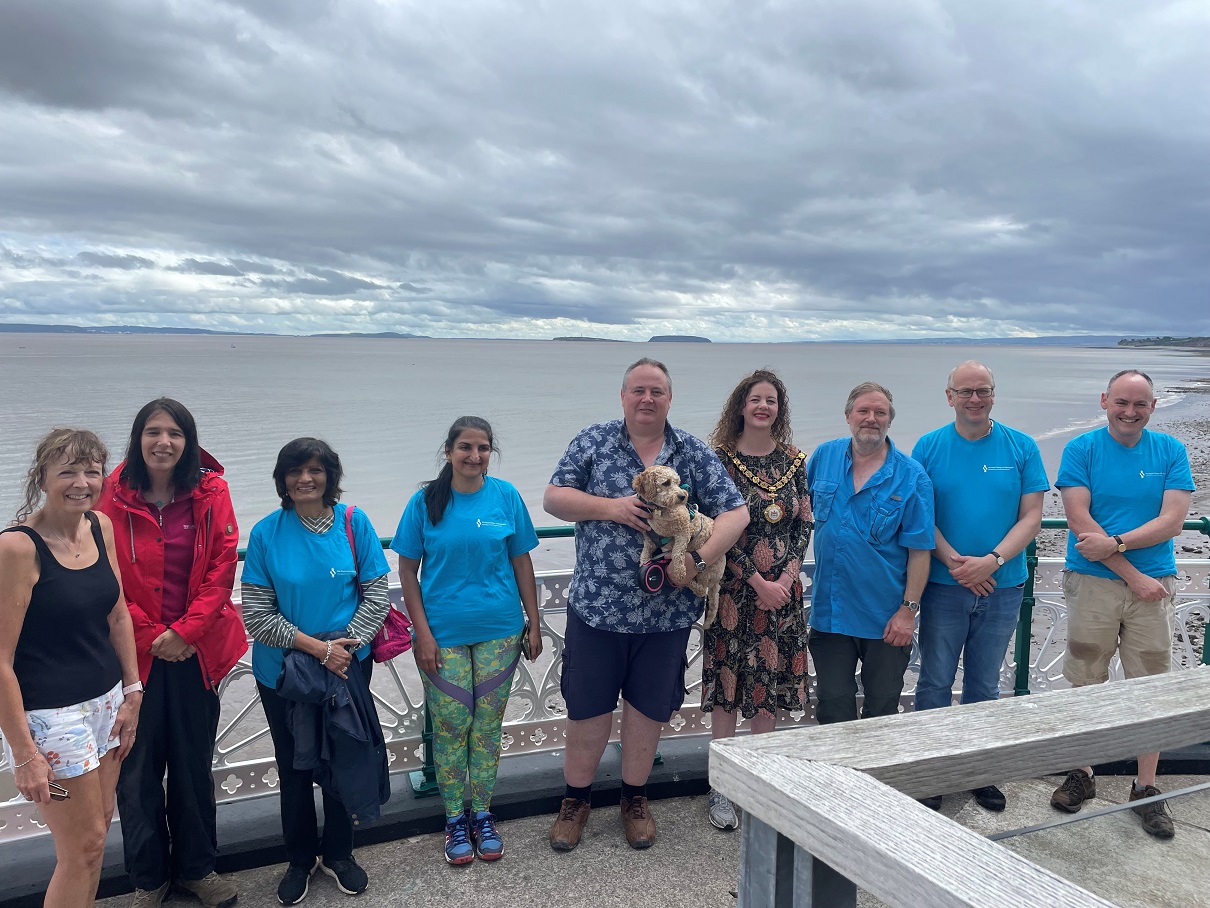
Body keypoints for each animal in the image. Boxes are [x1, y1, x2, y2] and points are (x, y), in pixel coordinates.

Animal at [629, 464, 721, 629]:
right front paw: (644, 563)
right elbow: (645, 553)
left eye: (678, 483)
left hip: (705, 572)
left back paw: (687, 582)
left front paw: (678, 571)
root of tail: (717, 582)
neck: (660, 511)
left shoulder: (684, 531)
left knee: (701, 590)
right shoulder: (650, 538)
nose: (683, 496)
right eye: (666, 483)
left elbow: (677, 552)